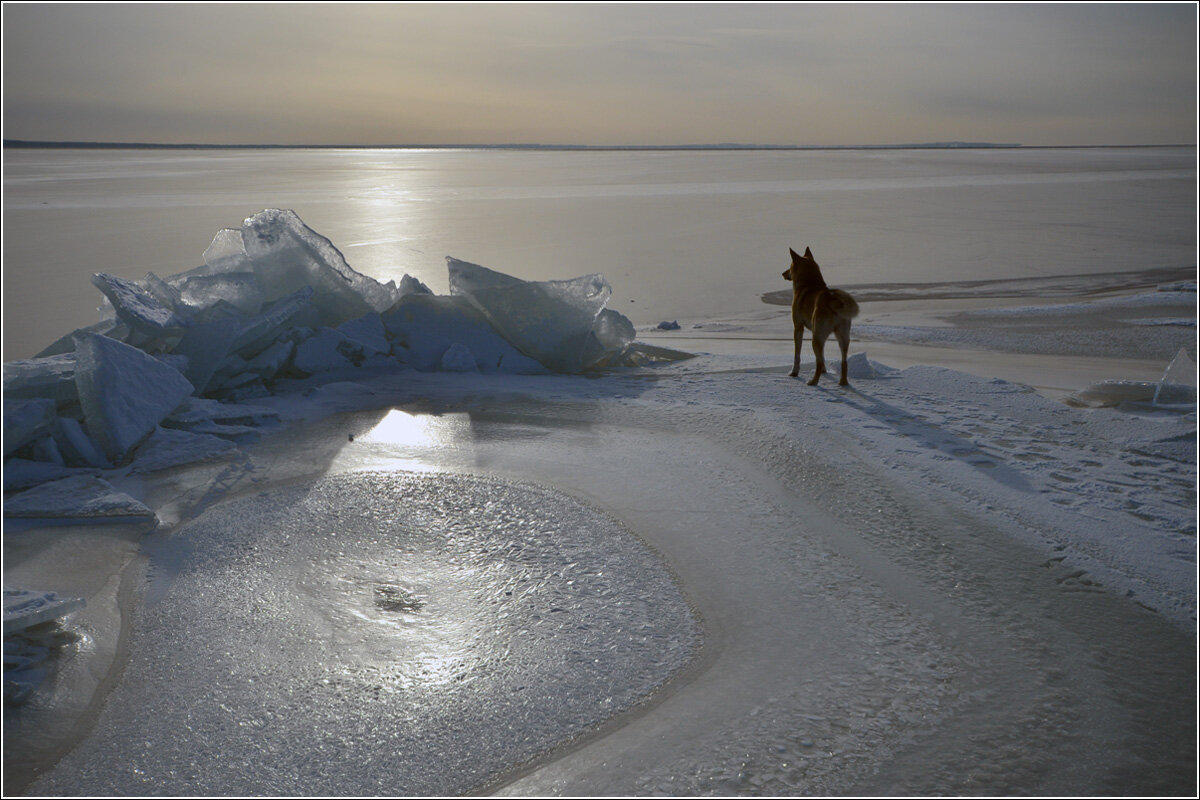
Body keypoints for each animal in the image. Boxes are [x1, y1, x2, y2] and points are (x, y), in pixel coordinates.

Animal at [782, 250, 859, 388]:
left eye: (789, 266)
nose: (783, 274)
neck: (810, 283)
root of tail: (833, 301)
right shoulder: (817, 332)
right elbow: (822, 356)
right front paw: (825, 370)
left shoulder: (798, 328)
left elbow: (797, 354)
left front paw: (794, 372)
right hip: (842, 337)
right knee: (844, 362)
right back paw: (843, 383)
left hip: (816, 338)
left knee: (817, 363)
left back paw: (813, 382)